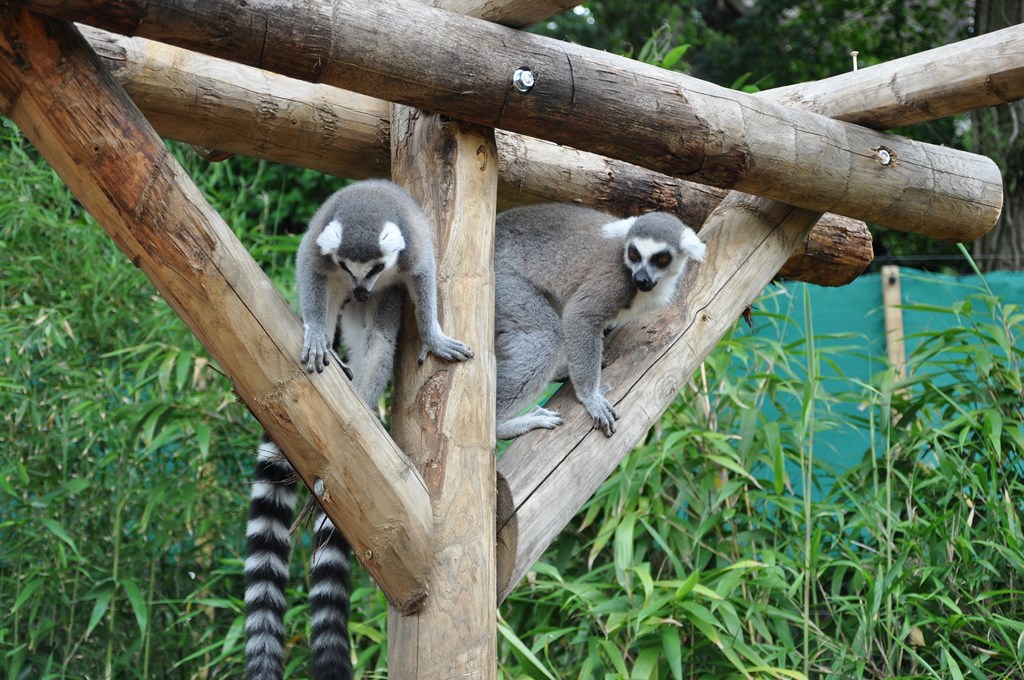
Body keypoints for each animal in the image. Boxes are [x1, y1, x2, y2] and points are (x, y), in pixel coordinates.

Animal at [244, 179, 473, 680]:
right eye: (351, 267)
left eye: (376, 269)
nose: (362, 292)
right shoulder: (323, 254)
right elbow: (307, 263)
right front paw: (314, 332)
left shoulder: (410, 253)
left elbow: (423, 276)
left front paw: (432, 335)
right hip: (338, 296)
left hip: (382, 304)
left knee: (380, 340)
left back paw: (363, 406)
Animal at [493, 204, 706, 440]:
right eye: (634, 254)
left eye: (661, 259)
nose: (640, 278)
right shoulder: (615, 280)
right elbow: (579, 316)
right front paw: (590, 398)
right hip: (502, 283)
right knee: (546, 336)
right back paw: (501, 426)